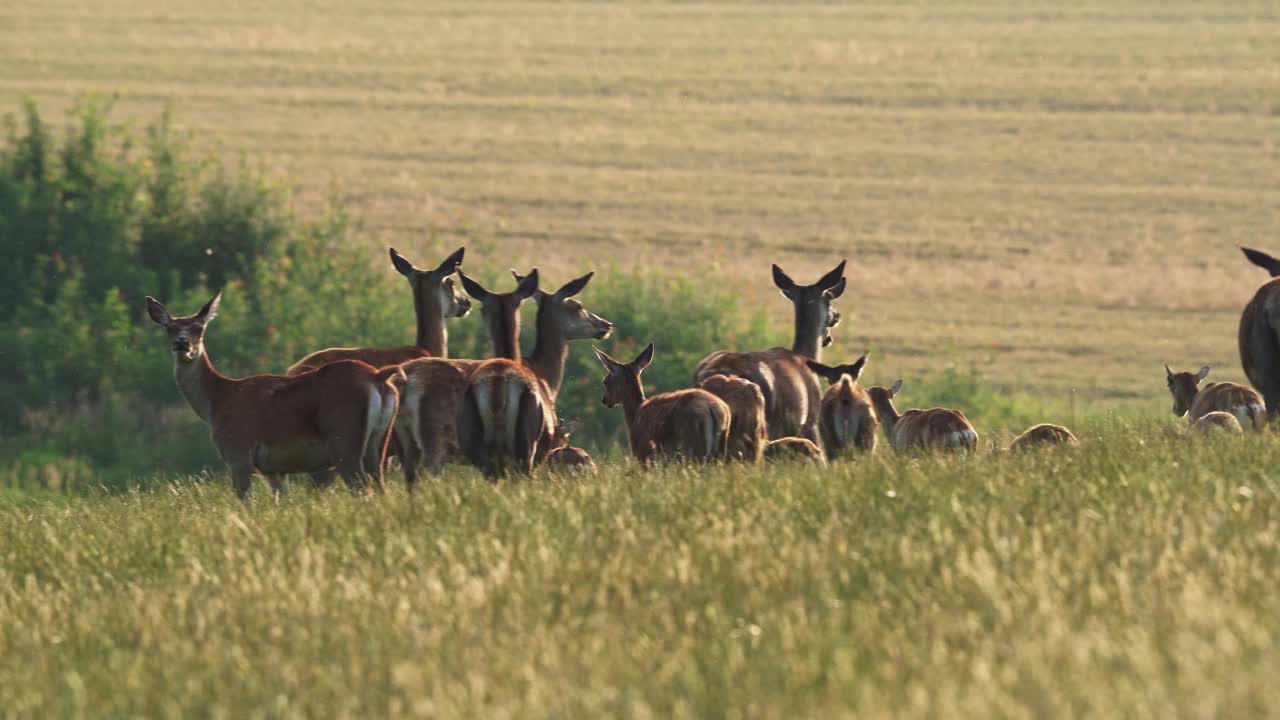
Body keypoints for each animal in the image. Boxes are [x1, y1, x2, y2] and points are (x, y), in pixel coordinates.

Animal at [144, 288, 404, 497]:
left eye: (199, 328)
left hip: (344, 437)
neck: (218, 402)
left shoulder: (238, 452)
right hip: (379, 441)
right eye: (169, 328)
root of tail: (378, 377)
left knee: (361, 487)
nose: (182, 343)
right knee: (380, 486)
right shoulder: (275, 470)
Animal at [455, 269, 614, 476]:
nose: (606, 325)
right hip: (526, 445)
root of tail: (497, 387)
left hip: (476, 444)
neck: (546, 377)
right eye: (578, 305)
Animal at [591, 343, 727, 466]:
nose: (605, 400)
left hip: (692, 445)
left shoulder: (644, 454)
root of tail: (712, 409)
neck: (634, 415)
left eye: (606, 381)